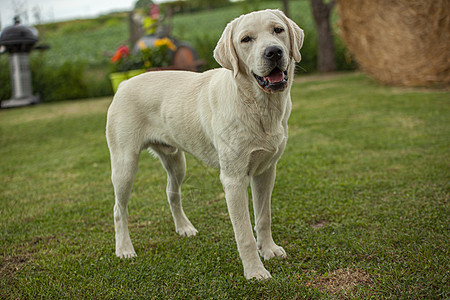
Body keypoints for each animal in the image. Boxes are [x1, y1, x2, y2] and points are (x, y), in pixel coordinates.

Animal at [106, 9, 302, 280]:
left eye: (278, 30)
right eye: (246, 39)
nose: (273, 52)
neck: (258, 105)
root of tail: (124, 83)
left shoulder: (266, 171)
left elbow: (264, 217)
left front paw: (270, 250)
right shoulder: (233, 180)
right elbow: (244, 233)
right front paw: (254, 271)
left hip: (177, 162)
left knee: (171, 193)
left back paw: (184, 228)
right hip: (124, 165)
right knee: (118, 209)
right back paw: (124, 249)